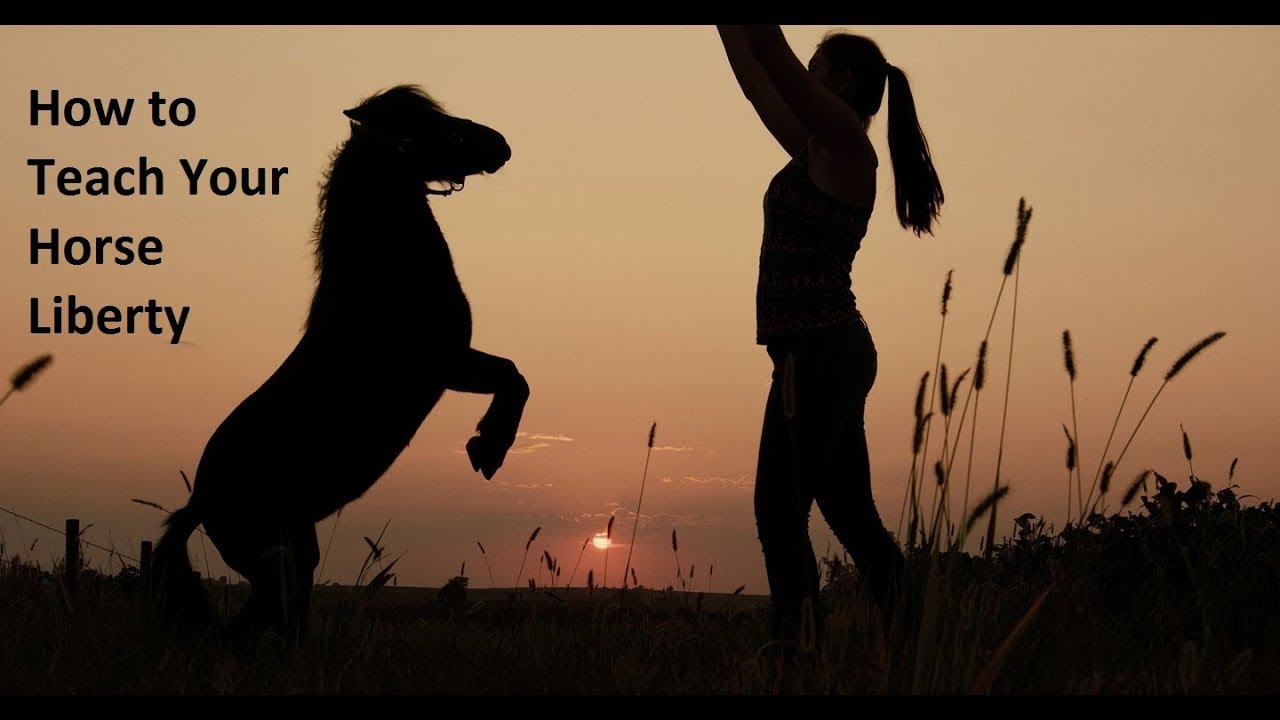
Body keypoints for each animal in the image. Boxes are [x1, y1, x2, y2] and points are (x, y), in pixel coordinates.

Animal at [152, 85, 529, 643]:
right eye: (428, 123)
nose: (498, 143)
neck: (379, 280)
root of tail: (200, 498)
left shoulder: (450, 366)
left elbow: (514, 376)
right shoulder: (443, 364)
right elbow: (514, 377)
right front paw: (488, 449)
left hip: (294, 555)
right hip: (276, 561)